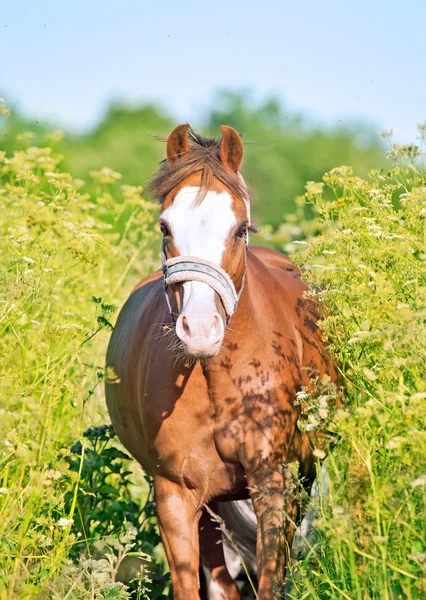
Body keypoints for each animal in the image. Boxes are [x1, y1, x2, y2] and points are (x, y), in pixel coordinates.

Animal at [105, 124, 338, 596]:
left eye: (241, 229)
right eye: (165, 227)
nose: (200, 329)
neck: (217, 380)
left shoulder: (273, 483)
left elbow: (271, 581)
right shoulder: (175, 494)